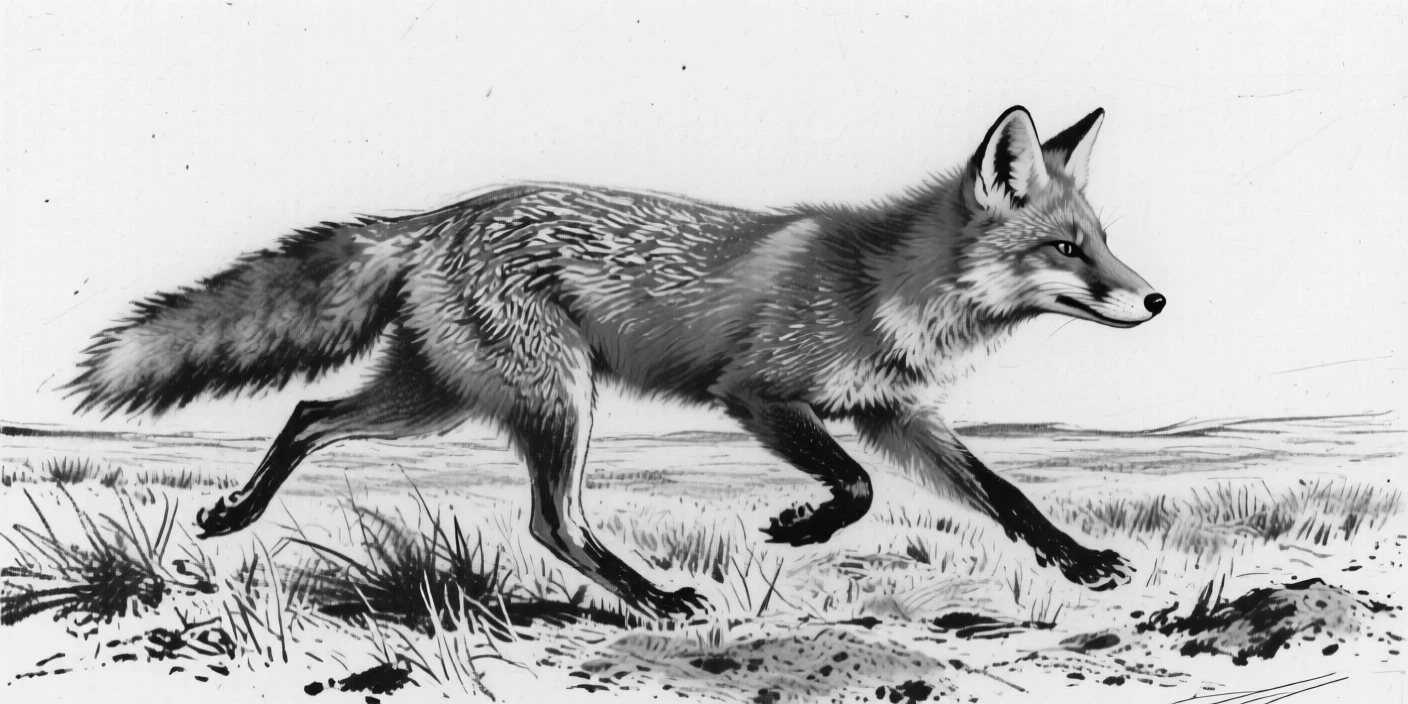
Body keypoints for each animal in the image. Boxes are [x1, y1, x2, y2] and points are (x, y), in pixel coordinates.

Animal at [69, 106, 1164, 617]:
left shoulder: (896, 412)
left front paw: (1079, 560)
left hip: (436, 394)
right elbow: (854, 487)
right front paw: (800, 525)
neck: (883, 282)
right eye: (1067, 248)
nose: (1155, 299)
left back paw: (234, 513)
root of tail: (441, 216)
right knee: (552, 519)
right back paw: (655, 599)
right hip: (553, 398)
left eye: (1104, 241)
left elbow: (1006, 494)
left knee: (308, 414)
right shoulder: (758, 393)